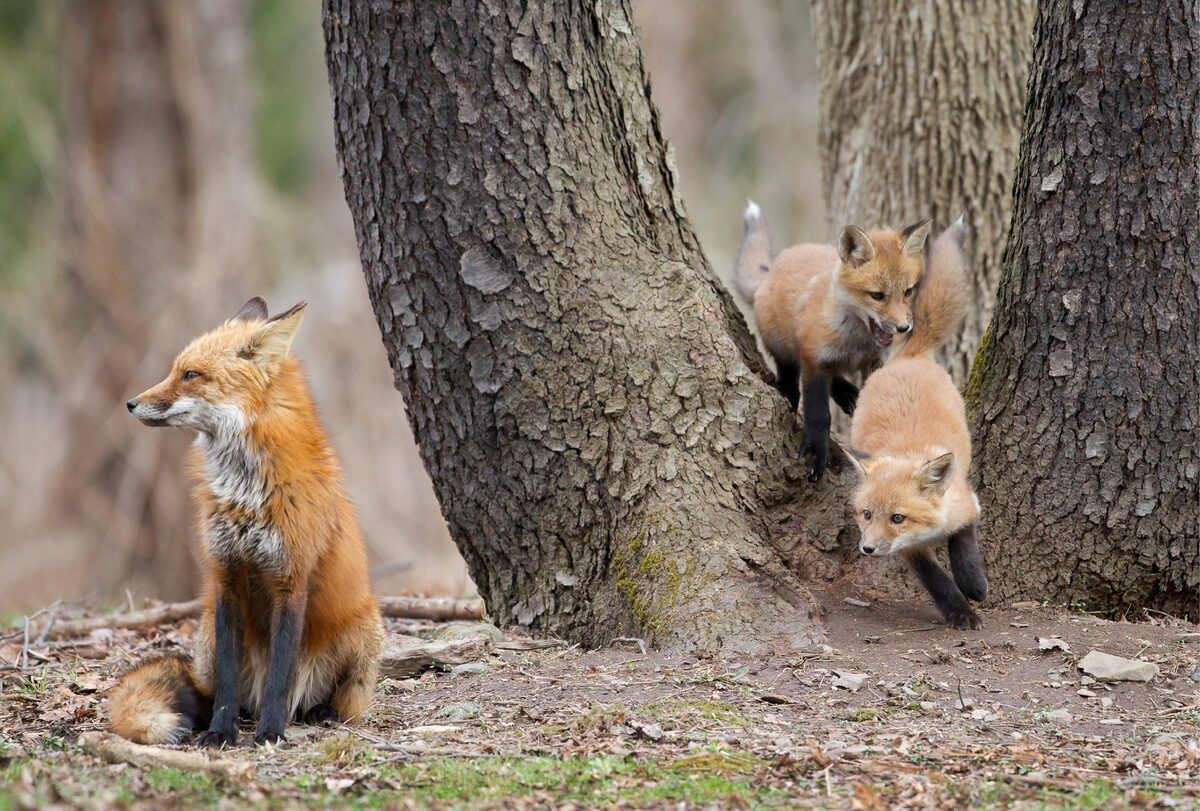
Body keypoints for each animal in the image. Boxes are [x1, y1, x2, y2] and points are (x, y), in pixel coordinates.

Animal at [111, 297, 384, 746]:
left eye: (191, 375)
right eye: (174, 370)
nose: (130, 403)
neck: (245, 492)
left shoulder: (291, 579)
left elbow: (280, 675)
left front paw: (271, 731)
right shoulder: (226, 577)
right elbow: (227, 680)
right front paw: (222, 731)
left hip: (364, 630)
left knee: (341, 701)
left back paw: (318, 711)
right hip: (206, 632)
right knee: (218, 691)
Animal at [735, 202, 966, 482]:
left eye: (908, 291)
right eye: (877, 295)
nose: (904, 327)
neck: (857, 343)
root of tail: (777, 264)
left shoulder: (874, 363)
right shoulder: (813, 357)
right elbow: (818, 413)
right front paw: (816, 453)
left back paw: (849, 396)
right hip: (782, 346)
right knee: (791, 374)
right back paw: (793, 396)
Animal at [838, 226, 989, 629]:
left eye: (898, 517)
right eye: (867, 514)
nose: (867, 548)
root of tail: (907, 355)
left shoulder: (967, 503)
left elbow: (964, 543)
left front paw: (974, 585)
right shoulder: (910, 551)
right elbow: (936, 580)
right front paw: (959, 611)